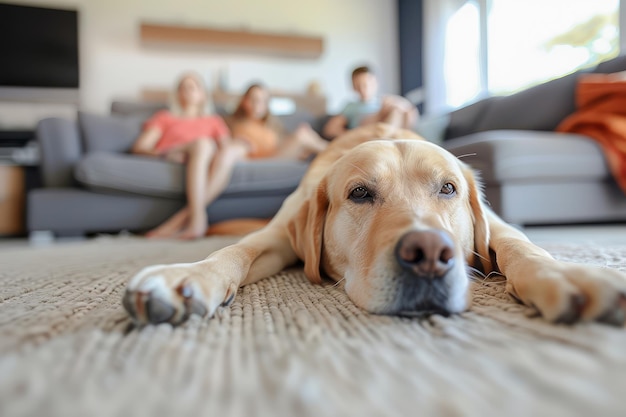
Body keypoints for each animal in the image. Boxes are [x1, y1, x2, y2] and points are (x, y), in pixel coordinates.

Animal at [122, 122, 624, 324]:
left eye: (448, 189)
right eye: (360, 194)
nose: (428, 255)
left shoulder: (496, 228)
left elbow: (521, 244)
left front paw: (563, 274)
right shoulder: (277, 235)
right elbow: (235, 251)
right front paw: (187, 277)